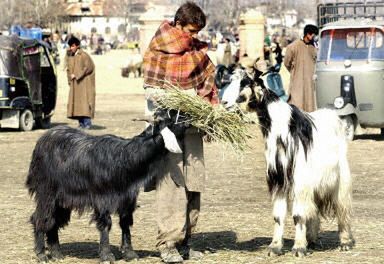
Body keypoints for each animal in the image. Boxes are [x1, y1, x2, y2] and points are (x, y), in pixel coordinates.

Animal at [26, 109, 188, 262]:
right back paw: (41, 254)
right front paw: (106, 254)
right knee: (41, 217)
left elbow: (125, 222)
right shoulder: (102, 198)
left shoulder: (127, 199)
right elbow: (106, 223)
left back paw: (56, 254)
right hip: (46, 192)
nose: (188, 118)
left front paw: (129, 253)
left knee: (53, 221)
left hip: (62, 200)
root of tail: (44, 138)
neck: (125, 157)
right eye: (173, 116)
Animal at [237, 71, 354, 256]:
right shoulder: (279, 180)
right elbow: (278, 215)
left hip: (340, 179)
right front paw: (275, 247)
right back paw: (311, 240)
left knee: (341, 207)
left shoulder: (300, 180)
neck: (282, 129)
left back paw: (345, 242)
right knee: (314, 210)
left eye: (246, 88)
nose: (232, 103)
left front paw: (298, 248)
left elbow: (298, 215)